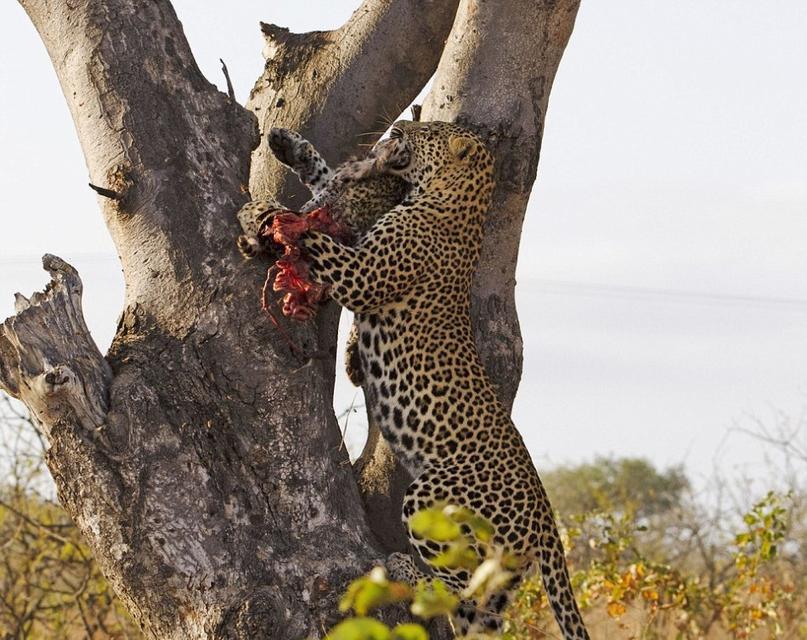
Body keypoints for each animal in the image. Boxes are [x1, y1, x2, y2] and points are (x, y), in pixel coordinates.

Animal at [274, 121, 592, 640]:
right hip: (499, 578)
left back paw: (405, 571)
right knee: (478, 614)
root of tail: (547, 520)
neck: (453, 198)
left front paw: (277, 218)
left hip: (435, 497)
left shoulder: (361, 272)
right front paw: (291, 148)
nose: (399, 125)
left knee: (459, 591)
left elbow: (323, 238)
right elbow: (326, 180)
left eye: (429, 131)